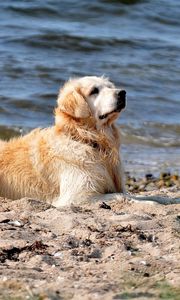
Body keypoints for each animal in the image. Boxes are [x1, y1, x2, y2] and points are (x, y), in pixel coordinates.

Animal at [0, 75, 126, 206]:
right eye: (94, 91)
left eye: (110, 86)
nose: (122, 93)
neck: (85, 139)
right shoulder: (76, 196)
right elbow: (122, 195)